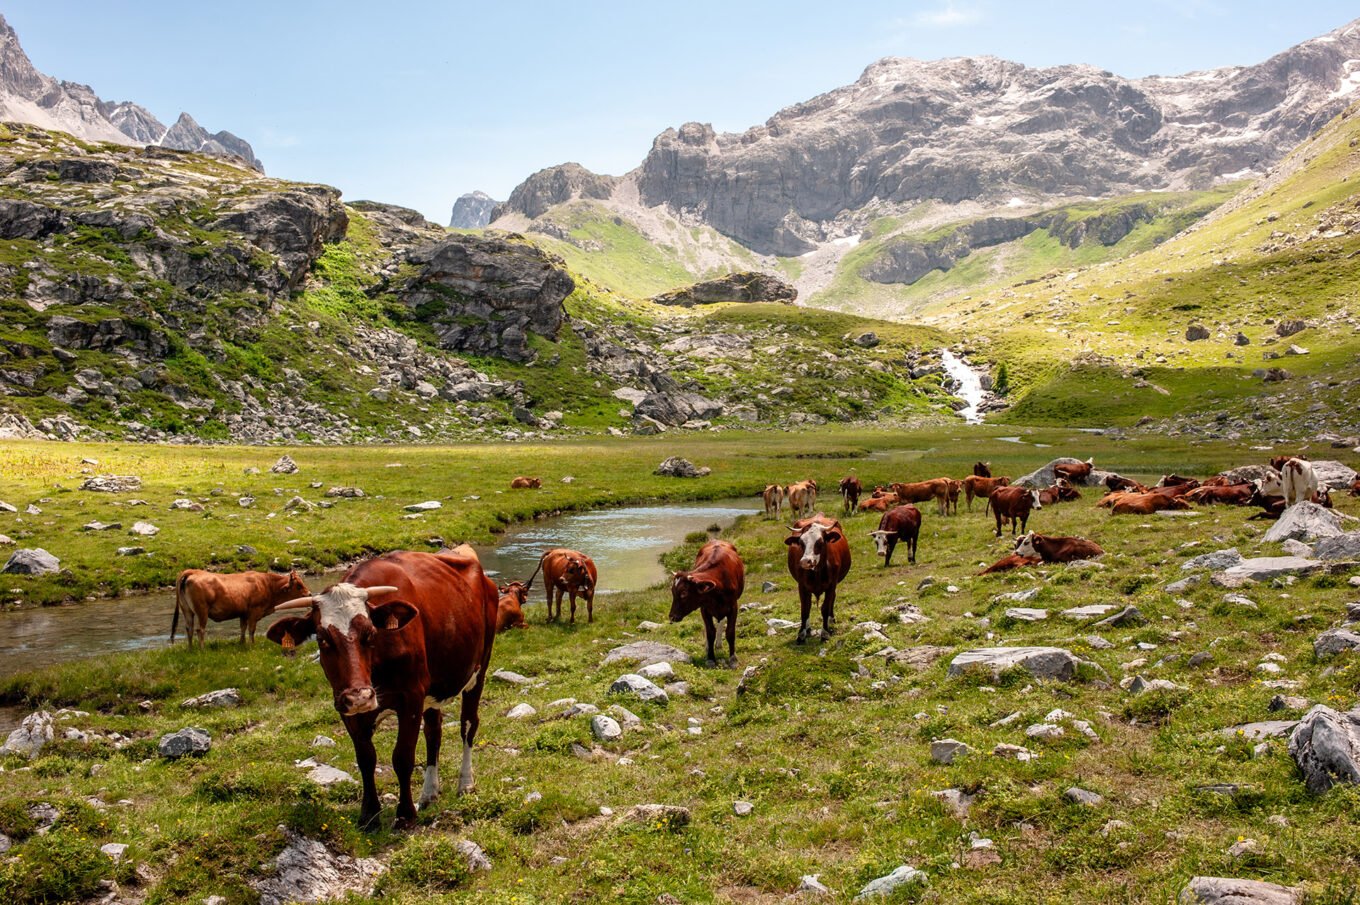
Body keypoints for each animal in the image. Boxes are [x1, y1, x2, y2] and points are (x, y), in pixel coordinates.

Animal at [172, 568, 311, 645]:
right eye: (299, 585)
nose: (309, 594)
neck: (267, 584)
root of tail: (192, 572)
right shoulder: (254, 611)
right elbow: (251, 629)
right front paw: (251, 645)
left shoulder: (243, 613)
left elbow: (243, 628)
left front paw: (242, 643)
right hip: (202, 611)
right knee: (199, 630)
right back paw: (202, 650)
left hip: (187, 611)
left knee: (189, 629)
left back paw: (191, 649)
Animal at [266, 547, 500, 827]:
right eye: (322, 639)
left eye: (370, 634)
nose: (360, 697)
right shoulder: (346, 706)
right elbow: (366, 758)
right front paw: (369, 814)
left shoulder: (411, 697)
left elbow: (403, 756)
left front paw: (405, 815)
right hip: (433, 691)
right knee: (434, 732)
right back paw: (429, 793)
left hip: (478, 671)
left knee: (468, 725)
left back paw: (465, 784)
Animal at [669, 536, 745, 664]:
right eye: (672, 592)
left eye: (684, 593)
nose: (672, 616)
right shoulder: (704, 608)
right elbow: (710, 632)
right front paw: (710, 658)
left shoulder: (733, 606)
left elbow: (730, 632)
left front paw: (733, 658)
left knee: (721, 621)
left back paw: (718, 644)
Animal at [788, 514, 848, 642]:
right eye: (801, 542)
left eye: (820, 541)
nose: (806, 561)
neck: (817, 572)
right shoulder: (802, 586)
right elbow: (804, 609)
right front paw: (801, 634)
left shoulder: (831, 585)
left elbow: (825, 608)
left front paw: (825, 632)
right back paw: (808, 628)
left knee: (832, 599)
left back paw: (831, 621)